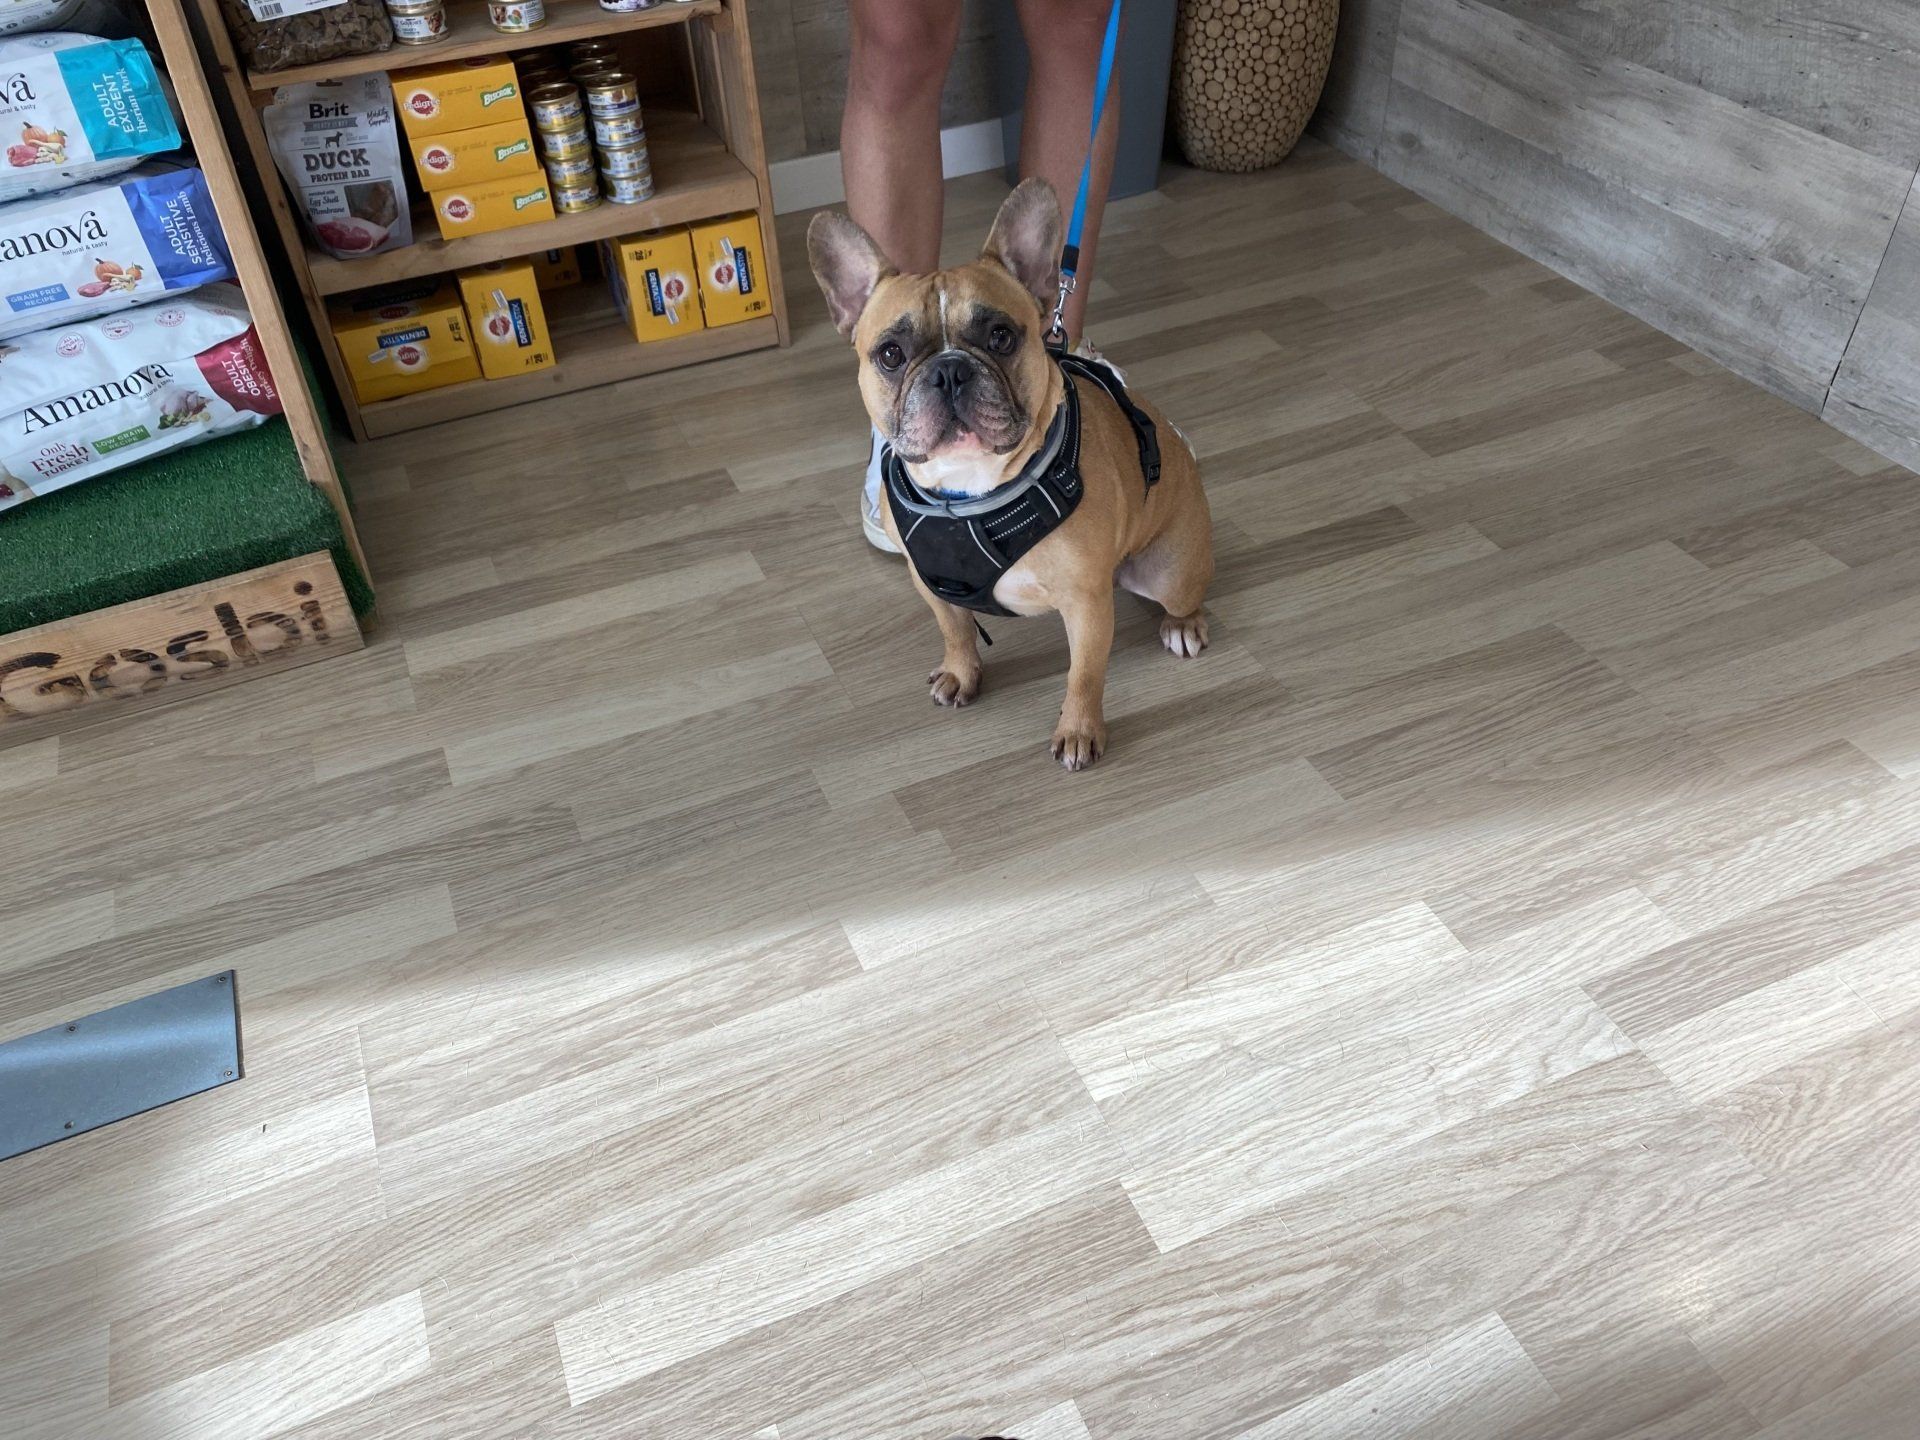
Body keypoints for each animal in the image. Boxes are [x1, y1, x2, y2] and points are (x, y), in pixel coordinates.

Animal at [809, 178, 1213, 771]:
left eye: (1001, 336)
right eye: (890, 354)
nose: (949, 370)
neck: (969, 490)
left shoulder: (1087, 604)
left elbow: (1084, 675)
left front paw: (1078, 731)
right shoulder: (931, 584)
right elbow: (956, 631)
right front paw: (961, 675)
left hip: (1168, 570)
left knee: (1186, 597)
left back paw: (1183, 626)